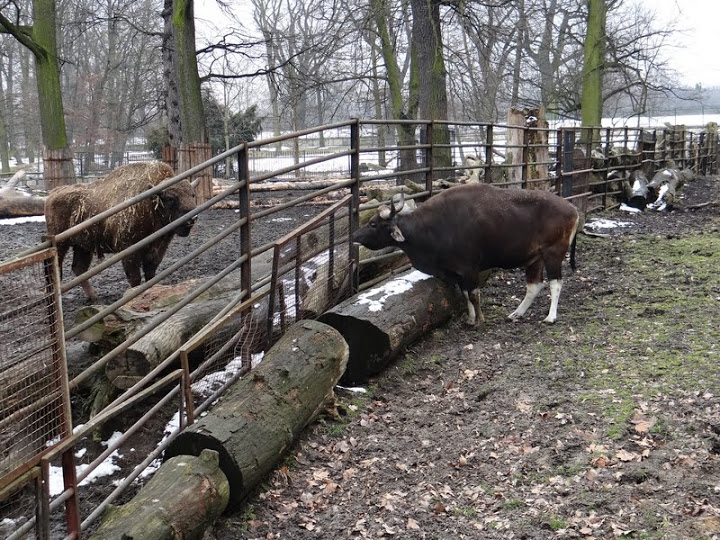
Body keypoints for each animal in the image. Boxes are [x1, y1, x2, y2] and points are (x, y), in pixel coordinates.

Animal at [353, 183, 579, 324]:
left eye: (373, 224)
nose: (355, 235)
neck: (430, 229)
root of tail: (572, 208)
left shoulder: (470, 268)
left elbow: (473, 294)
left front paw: (480, 320)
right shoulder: (457, 271)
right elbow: (464, 293)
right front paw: (471, 319)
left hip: (553, 253)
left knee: (556, 283)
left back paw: (551, 317)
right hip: (535, 258)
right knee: (534, 286)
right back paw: (517, 313)